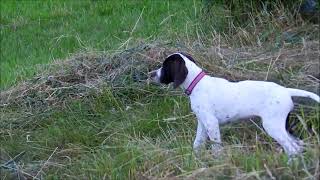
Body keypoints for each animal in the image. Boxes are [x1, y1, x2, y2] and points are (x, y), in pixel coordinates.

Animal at [149, 52, 320, 156]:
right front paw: (195, 158)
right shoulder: (203, 123)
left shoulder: (211, 123)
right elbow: (197, 143)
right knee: (297, 143)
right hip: (282, 125)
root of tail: (286, 91)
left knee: (292, 147)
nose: (151, 75)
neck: (197, 84)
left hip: (273, 125)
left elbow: (216, 146)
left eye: (164, 66)